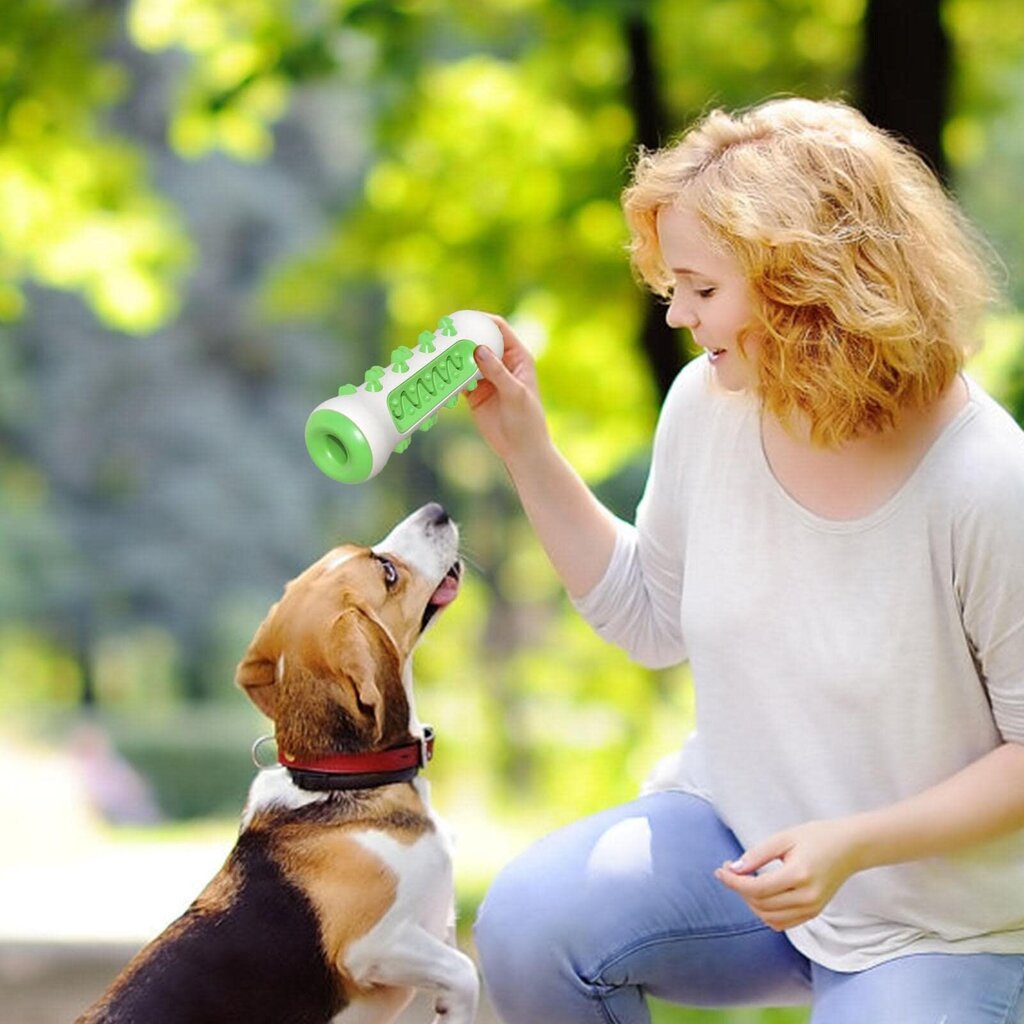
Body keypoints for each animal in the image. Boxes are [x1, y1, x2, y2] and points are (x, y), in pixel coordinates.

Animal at [77, 503, 477, 1024]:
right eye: (387, 572)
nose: (437, 511)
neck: (342, 778)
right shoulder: (373, 946)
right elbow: (465, 969)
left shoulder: (436, 925)